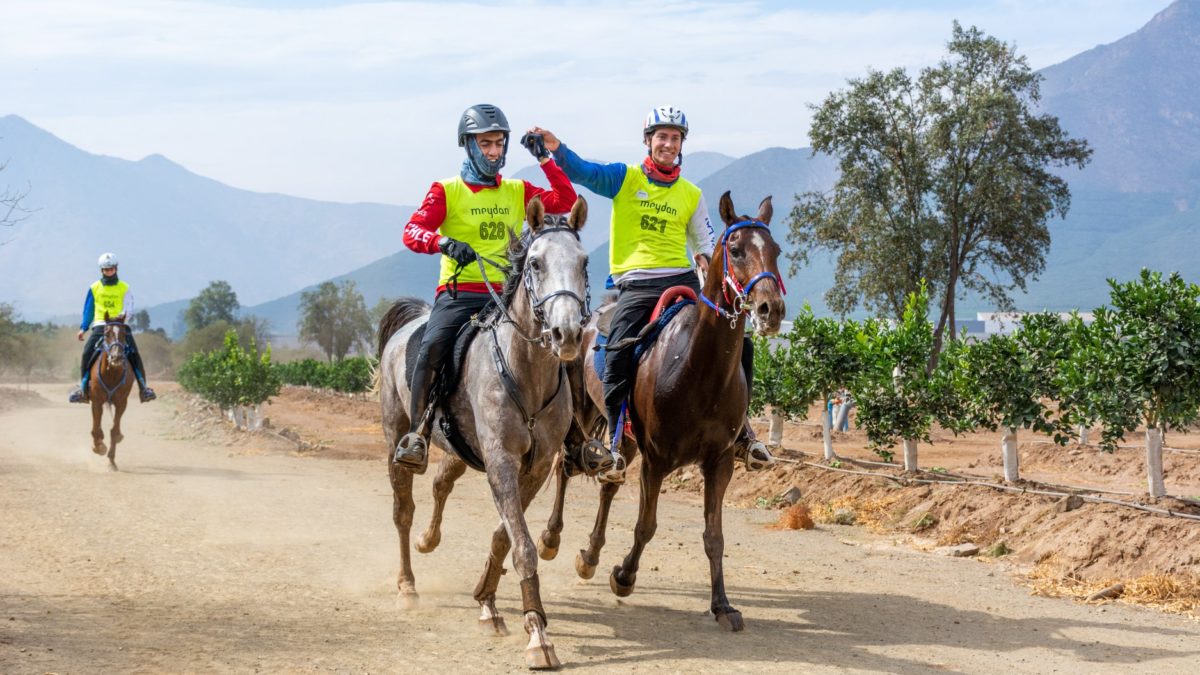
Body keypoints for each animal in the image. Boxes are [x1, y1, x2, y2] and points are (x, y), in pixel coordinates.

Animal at [87, 314, 135, 468]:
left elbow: (114, 430)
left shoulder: (121, 402)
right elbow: (96, 428)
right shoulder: (96, 401)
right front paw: (99, 447)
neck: (111, 373)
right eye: (107, 334)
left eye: (124, 334)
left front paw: (111, 461)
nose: (116, 357)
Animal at [376, 194, 588, 667]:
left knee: (440, 483)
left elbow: (505, 535)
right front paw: (538, 635)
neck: (526, 372)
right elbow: (523, 544)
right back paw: (407, 584)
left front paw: (488, 602)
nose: (566, 333)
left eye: (584, 262)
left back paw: (429, 542)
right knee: (402, 511)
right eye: (535, 264)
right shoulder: (501, 461)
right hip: (396, 436)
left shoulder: (535, 467)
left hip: (459, 449)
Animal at [542, 190, 787, 629]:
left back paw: (590, 555)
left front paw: (722, 605)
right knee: (566, 467)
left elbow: (714, 537)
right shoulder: (656, 460)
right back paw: (551, 539)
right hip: (583, 419)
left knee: (608, 483)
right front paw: (624, 576)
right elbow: (646, 526)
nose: (770, 309)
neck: (698, 370)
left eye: (775, 250)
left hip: (623, 439)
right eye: (736, 250)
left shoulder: (719, 462)